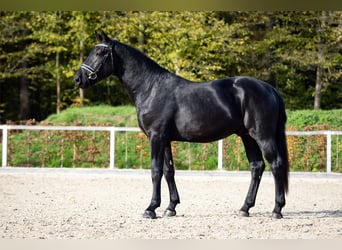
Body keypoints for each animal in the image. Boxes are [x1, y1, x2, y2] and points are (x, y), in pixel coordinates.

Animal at [74, 29, 288, 219]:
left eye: (100, 53)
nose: (78, 79)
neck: (151, 88)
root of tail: (269, 88)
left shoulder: (156, 137)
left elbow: (155, 171)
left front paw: (151, 209)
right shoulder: (165, 139)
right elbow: (169, 171)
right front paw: (171, 208)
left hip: (262, 135)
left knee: (276, 164)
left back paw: (277, 210)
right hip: (247, 136)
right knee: (257, 166)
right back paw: (245, 208)